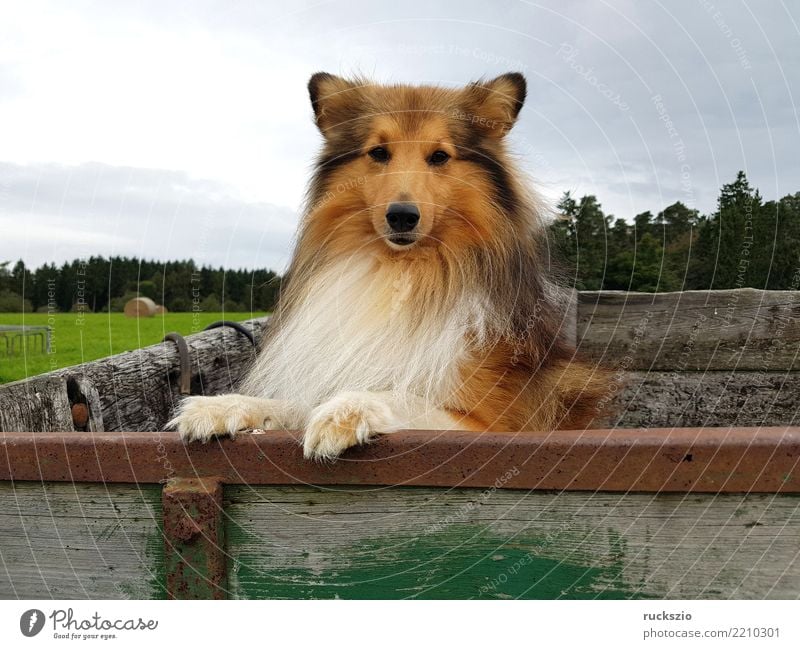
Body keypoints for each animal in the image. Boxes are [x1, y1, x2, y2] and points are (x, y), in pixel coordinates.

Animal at [167, 72, 608, 460]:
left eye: (440, 156)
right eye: (379, 152)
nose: (402, 217)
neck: (402, 273)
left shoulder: (495, 423)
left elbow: (401, 396)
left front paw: (347, 409)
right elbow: (295, 403)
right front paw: (223, 406)